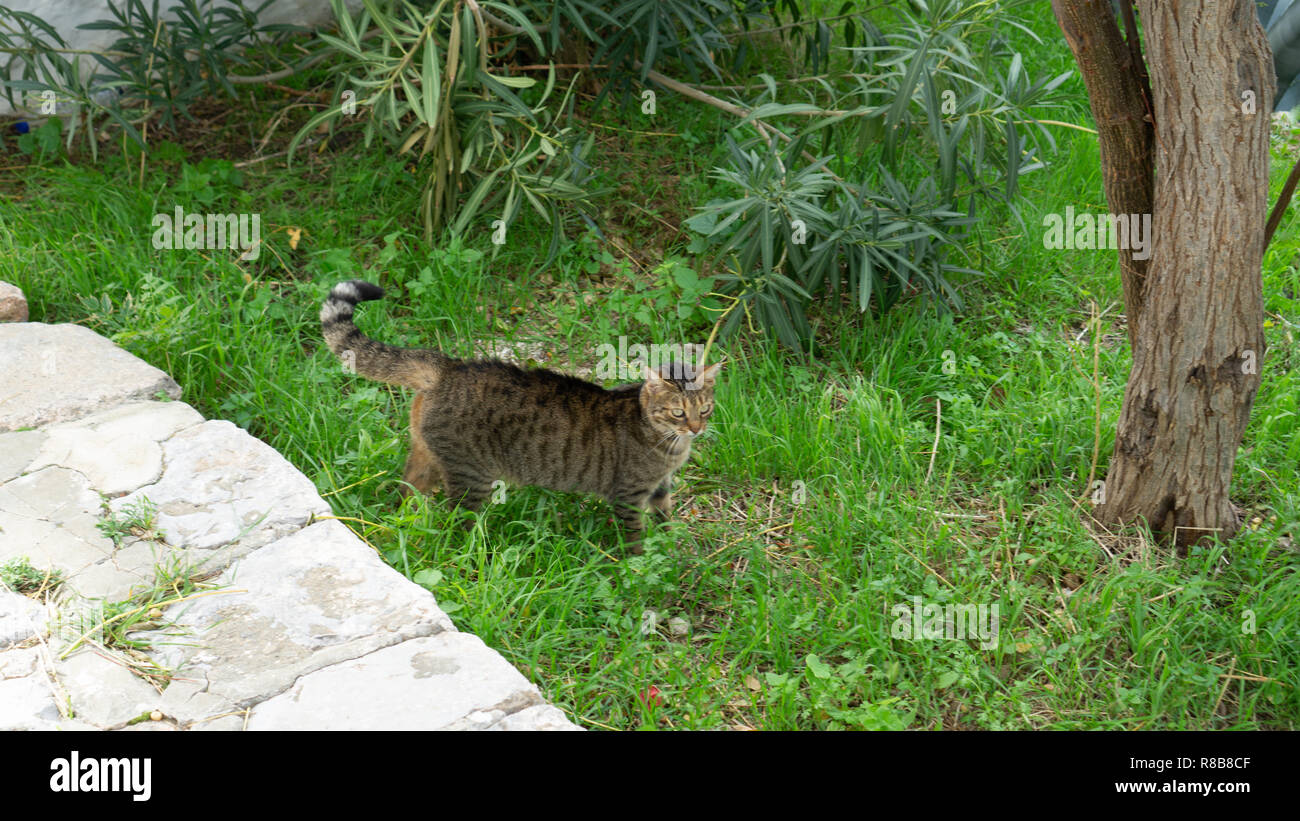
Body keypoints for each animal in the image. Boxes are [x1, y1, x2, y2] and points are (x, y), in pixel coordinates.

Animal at [317, 279, 722, 555]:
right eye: (678, 412)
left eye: (705, 409)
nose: (697, 429)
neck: (669, 445)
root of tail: (449, 366)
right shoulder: (629, 495)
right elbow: (635, 538)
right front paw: (639, 564)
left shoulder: (661, 487)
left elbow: (666, 519)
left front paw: (672, 545)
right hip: (471, 476)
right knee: (457, 521)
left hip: (426, 456)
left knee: (407, 491)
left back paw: (403, 523)